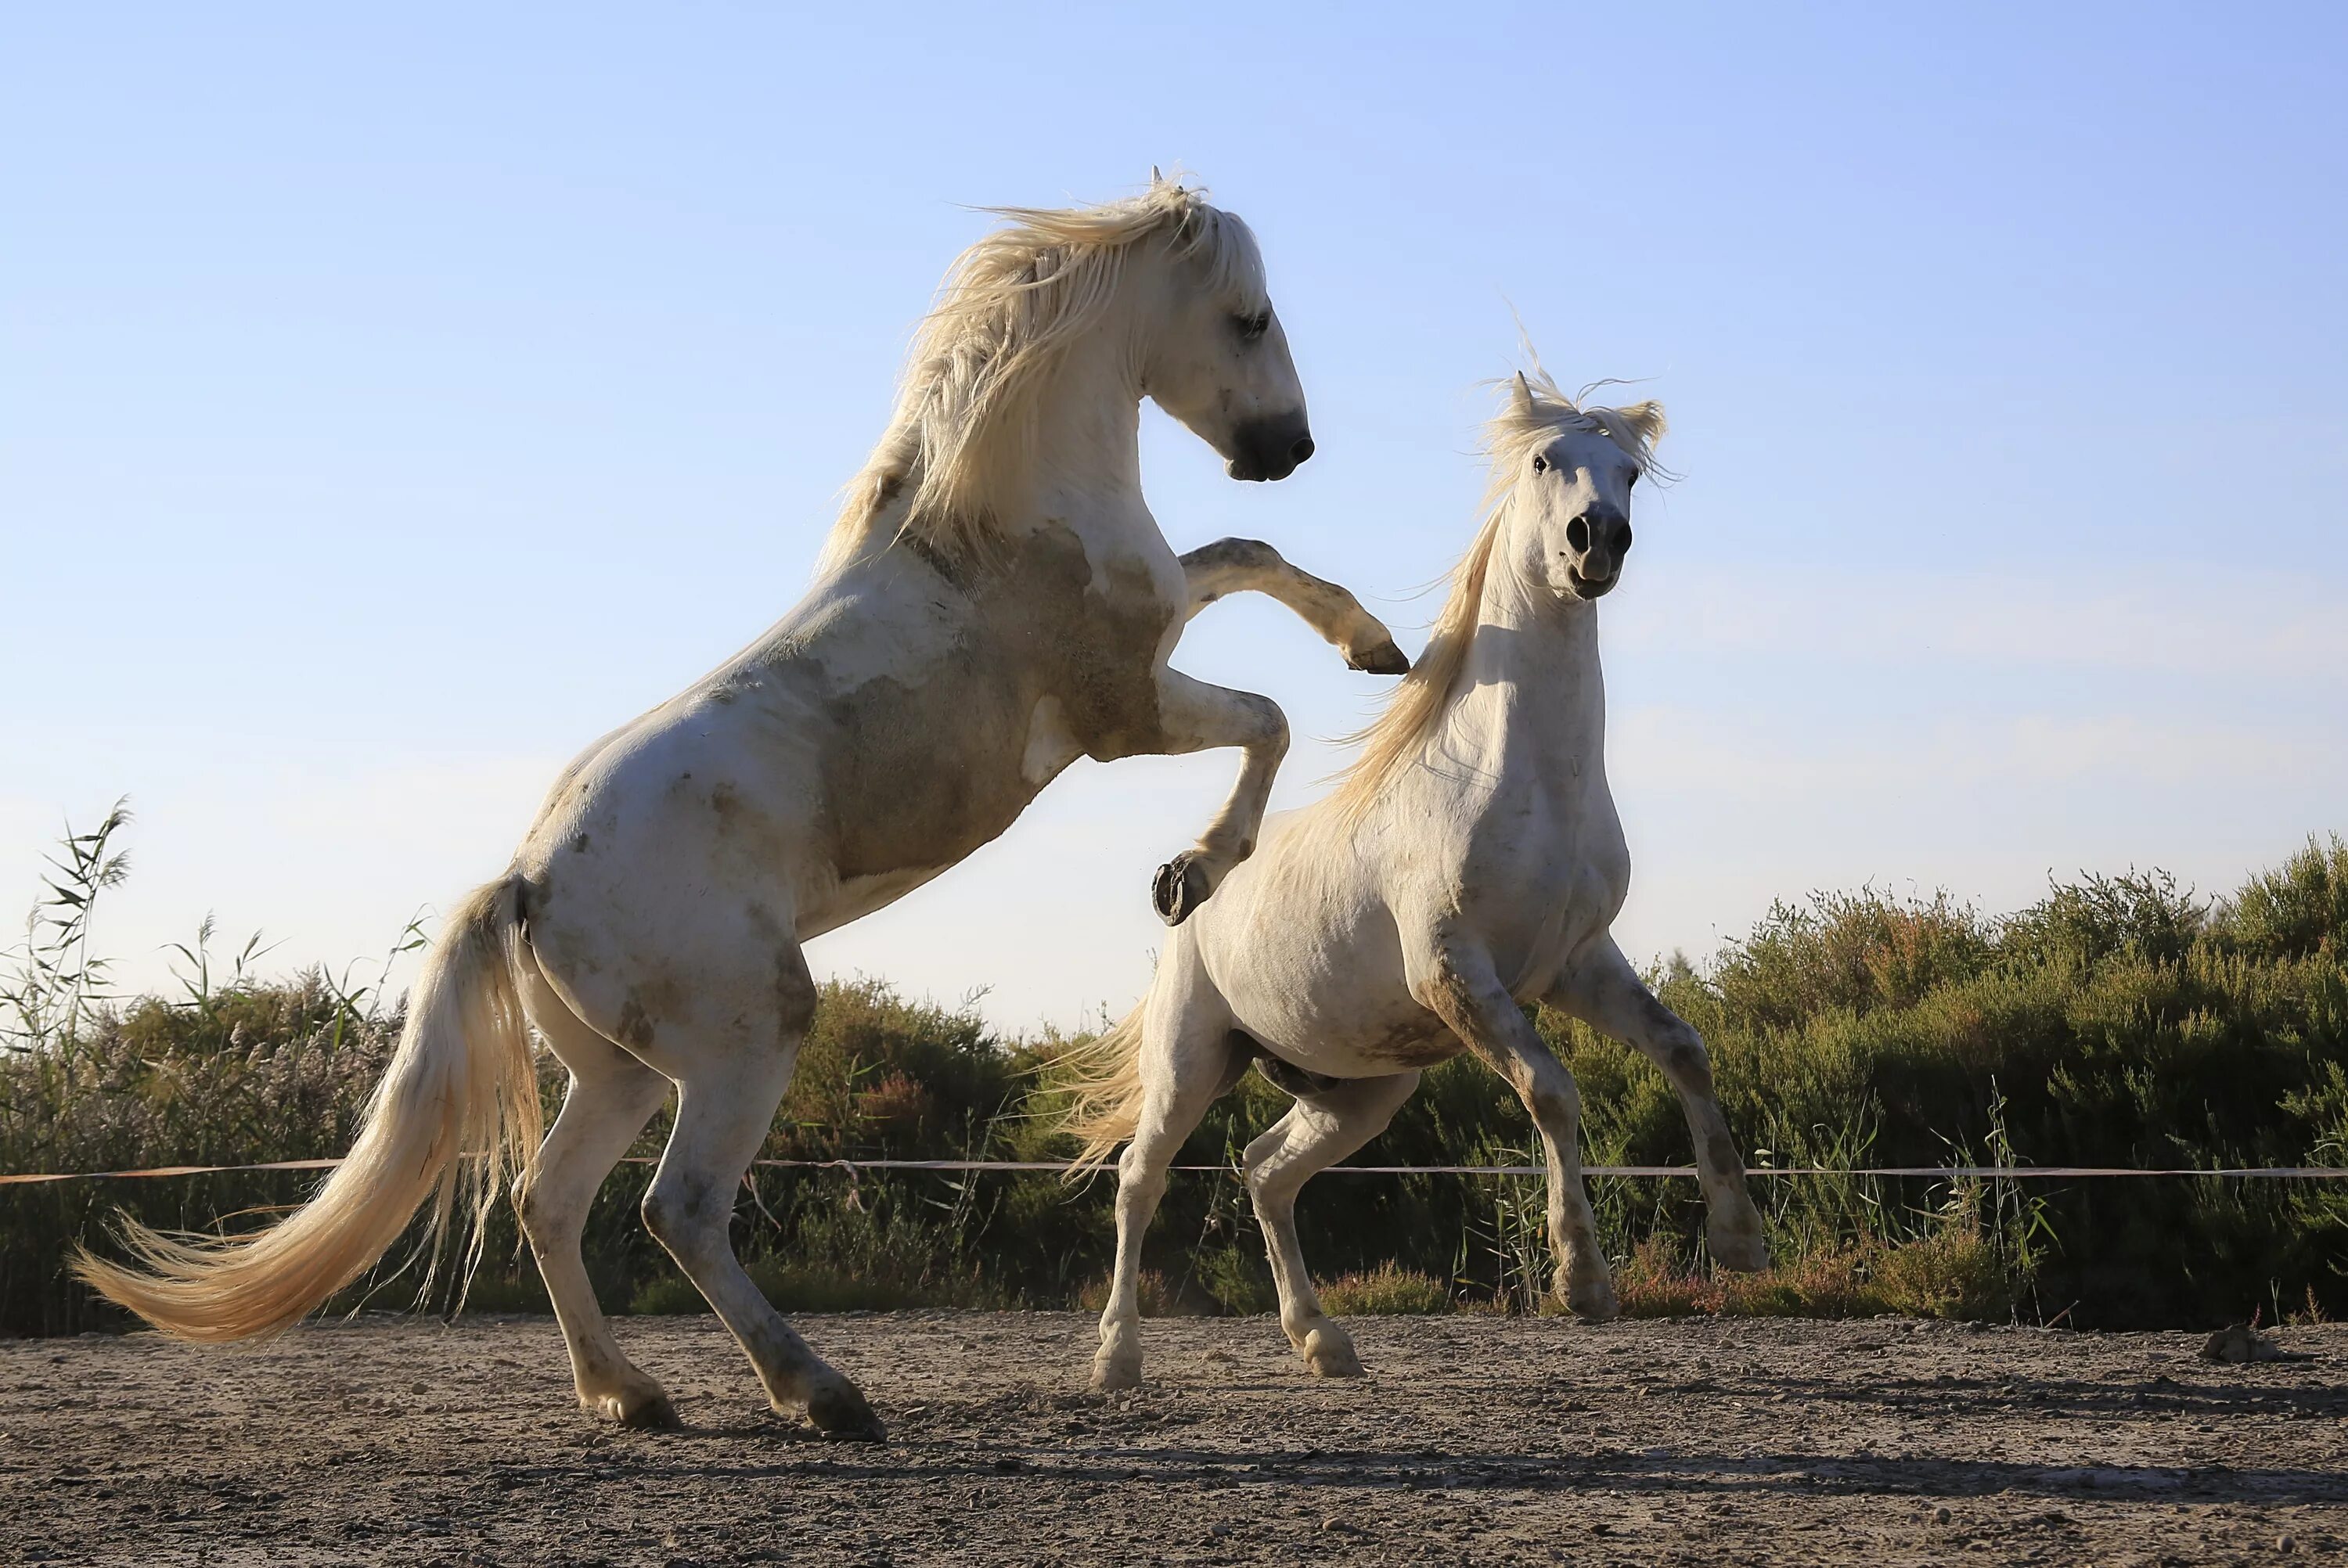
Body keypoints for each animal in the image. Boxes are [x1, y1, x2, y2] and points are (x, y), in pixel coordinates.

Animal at [77, 177, 1409, 1437]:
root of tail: (528, 883)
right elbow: (1265, 713)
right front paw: (1197, 869)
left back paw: (631, 1396)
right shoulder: (1122, 713)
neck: (996, 525)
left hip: (619, 1073)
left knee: (549, 1202)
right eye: (1249, 316)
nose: (1286, 446)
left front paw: (1374, 647)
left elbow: (1247, 560)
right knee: (678, 1210)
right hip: (748, 1032)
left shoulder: (1157, 634)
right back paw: (819, 1393)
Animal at [1061, 361, 1766, 1390]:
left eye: (1629, 473)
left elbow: (1684, 1049)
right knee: (1139, 1182)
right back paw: (1118, 1359)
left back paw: (1323, 1341)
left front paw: (1740, 1239)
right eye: (1546, 462)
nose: (1597, 542)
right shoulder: (1455, 971)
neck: (1526, 782)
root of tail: (1191, 910)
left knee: (1266, 1172)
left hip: (1360, 1090)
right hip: (1191, 1060)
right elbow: (1554, 1091)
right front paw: (1582, 1281)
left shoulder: (1576, 963)